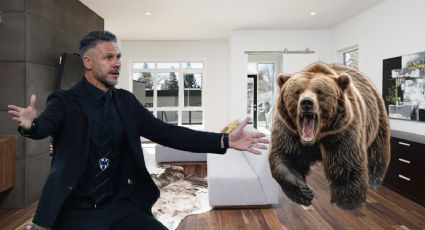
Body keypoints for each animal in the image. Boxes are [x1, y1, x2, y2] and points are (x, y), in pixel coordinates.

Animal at [270, 62, 390, 209]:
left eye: (320, 92)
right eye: (297, 92)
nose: (306, 103)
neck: (317, 137)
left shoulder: (342, 132)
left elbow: (346, 168)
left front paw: (348, 202)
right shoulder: (289, 130)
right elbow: (285, 158)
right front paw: (304, 193)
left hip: (376, 118)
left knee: (377, 152)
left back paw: (375, 180)